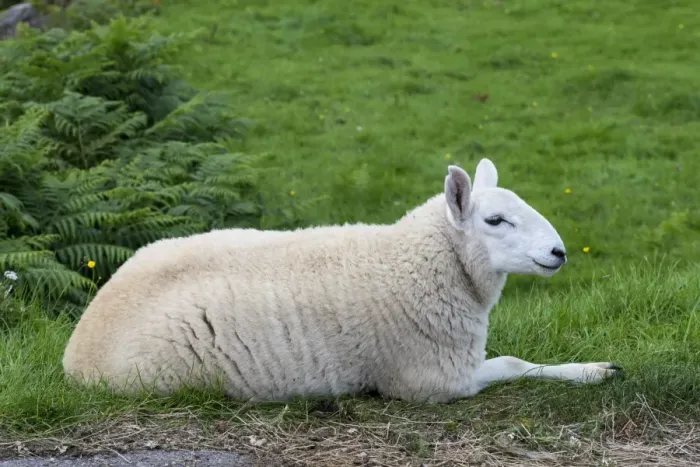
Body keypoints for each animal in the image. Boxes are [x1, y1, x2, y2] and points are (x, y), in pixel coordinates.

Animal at [62, 158, 623, 403]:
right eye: (495, 221)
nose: (558, 252)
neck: (416, 261)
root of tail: (76, 346)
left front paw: (597, 368)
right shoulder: (429, 380)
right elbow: (512, 364)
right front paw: (591, 371)